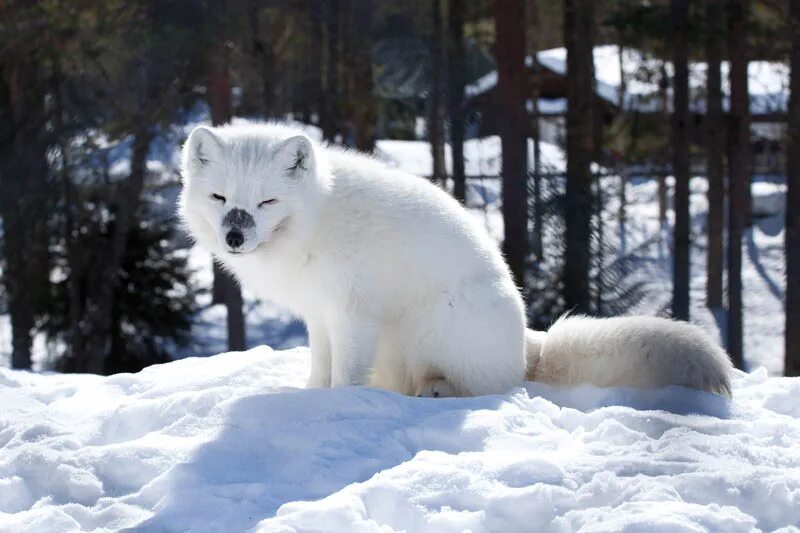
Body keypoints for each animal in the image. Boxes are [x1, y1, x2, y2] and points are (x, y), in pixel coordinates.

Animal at [180, 122, 732, 396]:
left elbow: (343, 374)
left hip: (436, 325)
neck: (316, 219)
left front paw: (337, 408)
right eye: (220, 198)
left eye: (266, 202)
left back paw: (440, 391)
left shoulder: (354, 314)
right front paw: (308, 400)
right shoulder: (320, 315)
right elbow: (321, 366)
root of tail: (529, 347)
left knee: (486, 388)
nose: (234, 236)